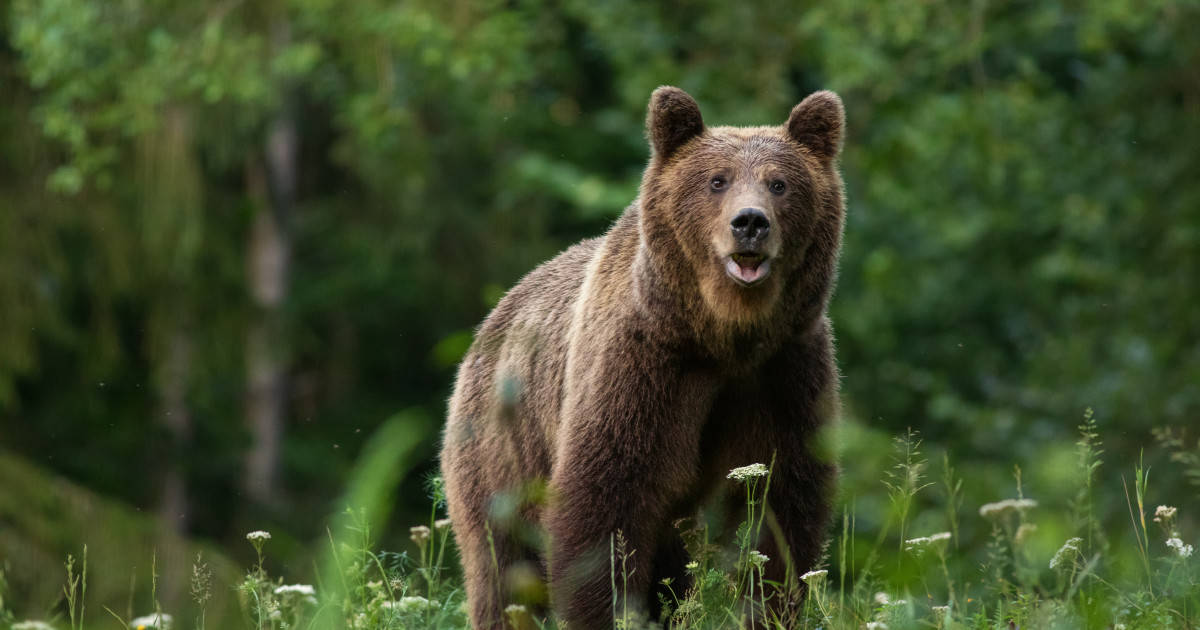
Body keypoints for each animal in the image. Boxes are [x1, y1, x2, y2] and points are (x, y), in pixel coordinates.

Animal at [441, 84, 844, 628]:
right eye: (717, 181)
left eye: (779, 184)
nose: (750, 223)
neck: (723, 337)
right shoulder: (644, 366)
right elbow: (607, 501)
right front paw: (609, 611)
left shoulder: (782, 372)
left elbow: (778, 505)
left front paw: (769, 606)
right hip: (500, 449)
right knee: (502, 565)